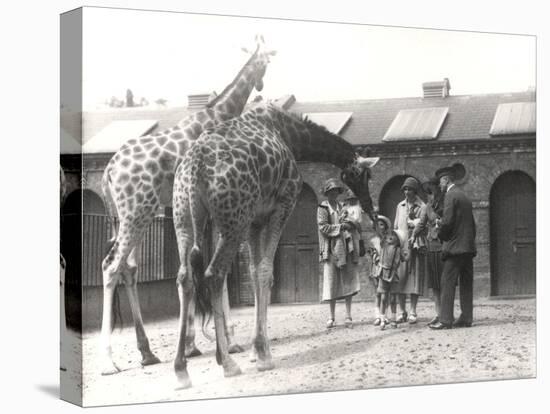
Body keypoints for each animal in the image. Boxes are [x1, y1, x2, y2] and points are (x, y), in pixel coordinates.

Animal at [99, 35, 276, 376]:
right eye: (268, 58)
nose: (263, 84)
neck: (220, 113)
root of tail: (108, 173)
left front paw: (196, 344)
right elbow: (216, 271)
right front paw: (228, 343)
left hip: (127, 216)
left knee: (128, 268)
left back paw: (147, 353)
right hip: (136, 212)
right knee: (111, 266)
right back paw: (109, 362)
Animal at [172, 103, 380, 388]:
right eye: (364, 174)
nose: (369, 205)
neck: (292, 136)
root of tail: (194, 168)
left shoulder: (255, 220)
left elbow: (252, 271)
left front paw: (256, 351)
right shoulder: (282, 205)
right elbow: (265, 271)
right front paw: (263, 355)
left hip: (186, 219)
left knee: (185, 277)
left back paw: (181, 369)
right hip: (232, 221)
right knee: (214, 274)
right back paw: (227, 363)